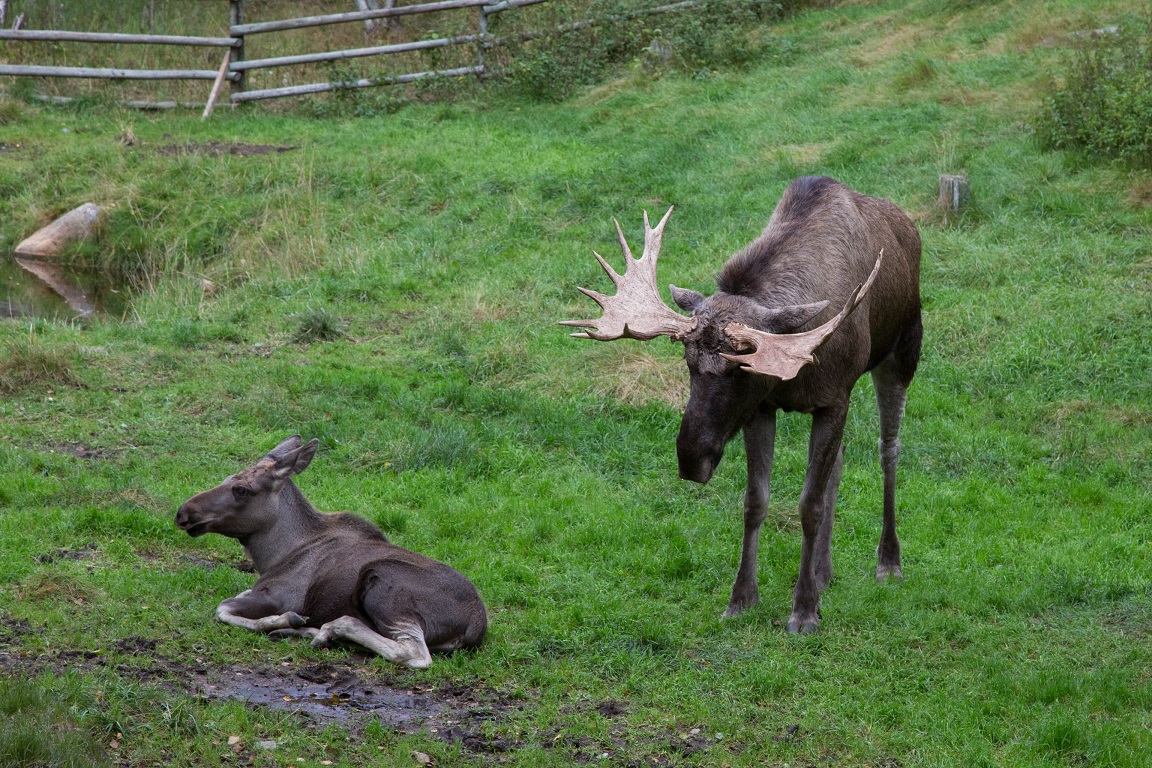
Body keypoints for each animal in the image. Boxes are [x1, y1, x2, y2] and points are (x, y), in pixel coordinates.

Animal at [175, 435, 486, 667]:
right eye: (228, 478)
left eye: (241, 489)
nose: (184, 512)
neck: (274, 555)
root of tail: (476, 624)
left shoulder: (281, 596)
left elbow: (222, 608)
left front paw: (284, 619)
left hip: (384, 584)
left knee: (413, 653)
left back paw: (330, 628)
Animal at [562, 177, 921, 635]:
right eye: (687, 361)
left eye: (739, 369)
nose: (690, 459)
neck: (796, 371)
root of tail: (908, 227)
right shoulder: (761, 409)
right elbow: (755, 501)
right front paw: (742, 598)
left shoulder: (832, 398)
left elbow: (809, 504)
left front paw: (804, 610)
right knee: (840, 459)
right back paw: (823, 569)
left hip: (903, 351)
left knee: (888, 449)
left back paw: (888, 561)